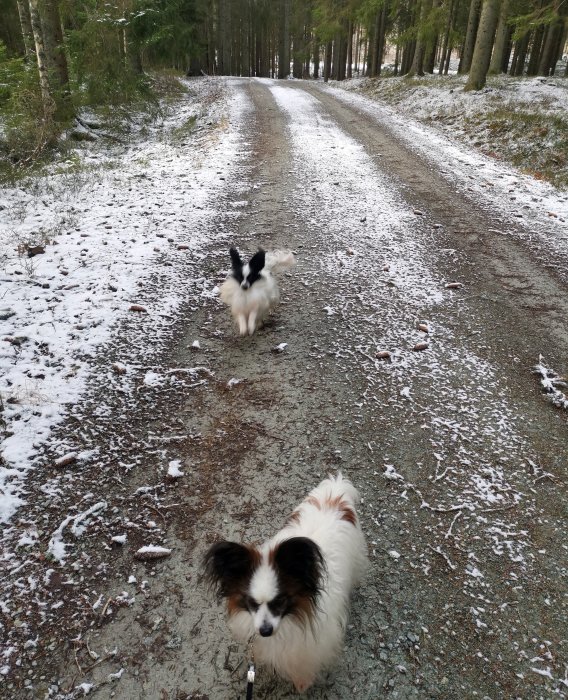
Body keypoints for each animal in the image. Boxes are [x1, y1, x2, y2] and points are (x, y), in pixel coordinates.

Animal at [204, 474, 368, 692]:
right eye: (251, 603)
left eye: (281, 601)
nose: (265, 631)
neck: (290, 620)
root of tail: (334, 492)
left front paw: (302, 682)